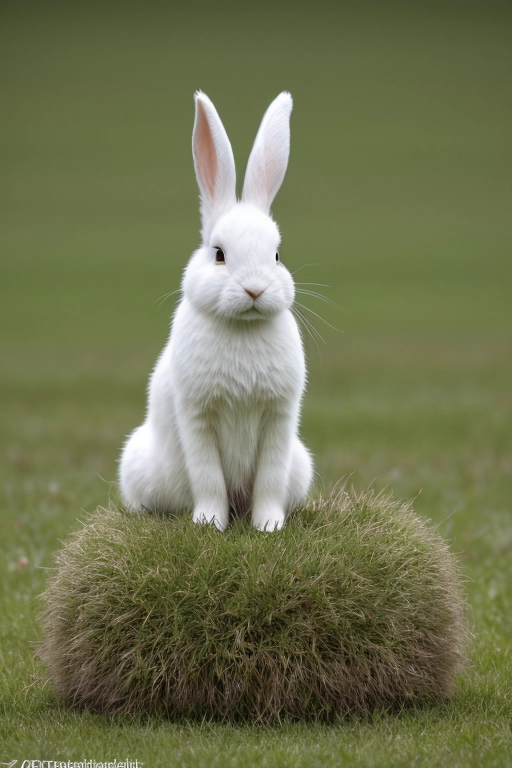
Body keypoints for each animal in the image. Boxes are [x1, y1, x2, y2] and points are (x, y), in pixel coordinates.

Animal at [118, 90, 314, 532]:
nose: (255, 288)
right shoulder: (197, 417)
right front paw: (209, 524)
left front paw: (268, 526)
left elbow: (269, 482)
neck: (242, 327)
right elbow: (208, 477)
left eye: (277, 255)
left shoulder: (279, 419)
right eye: (219, 254)